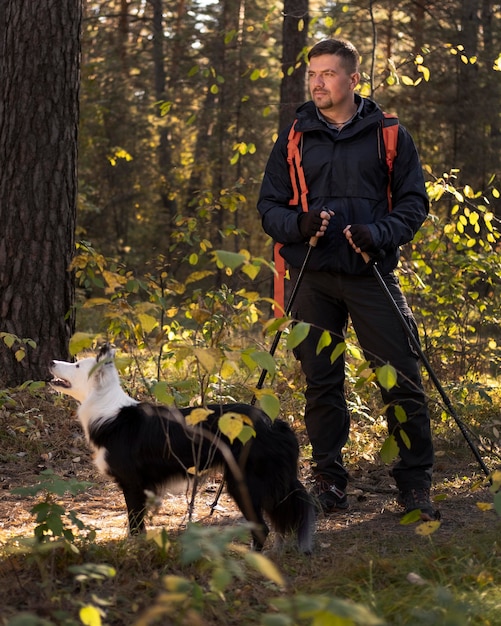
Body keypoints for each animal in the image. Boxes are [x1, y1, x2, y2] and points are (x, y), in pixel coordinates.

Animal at [48, 342, 314, 552]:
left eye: (77, 366)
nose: (50, 361)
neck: (106, 407)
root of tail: (275, 423)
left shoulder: (133, 483)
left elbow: (135, 525)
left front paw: (132, 550)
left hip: (244, 483)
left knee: (262, 527)